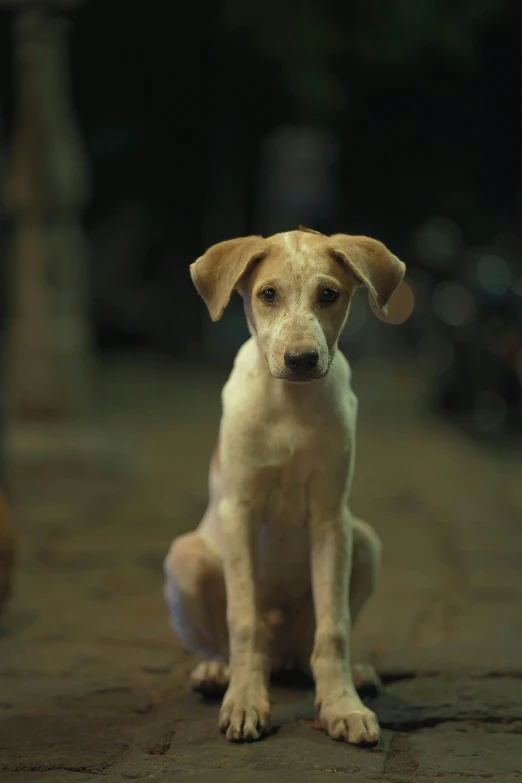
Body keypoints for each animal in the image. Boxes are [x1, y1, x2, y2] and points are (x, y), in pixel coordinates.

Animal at [165, 227, 404, 748]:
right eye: (268, 294)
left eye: (329, 294)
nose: (301, 360)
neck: (291, 404)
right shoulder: (240, 509)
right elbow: (243, 620)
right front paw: (245, 702)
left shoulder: (332, 515)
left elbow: (334, 626)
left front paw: (342, 707)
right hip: (186, 558)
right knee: (230, 641)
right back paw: (217, 672)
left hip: (364, 541)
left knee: (311, 646)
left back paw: (352, 673)